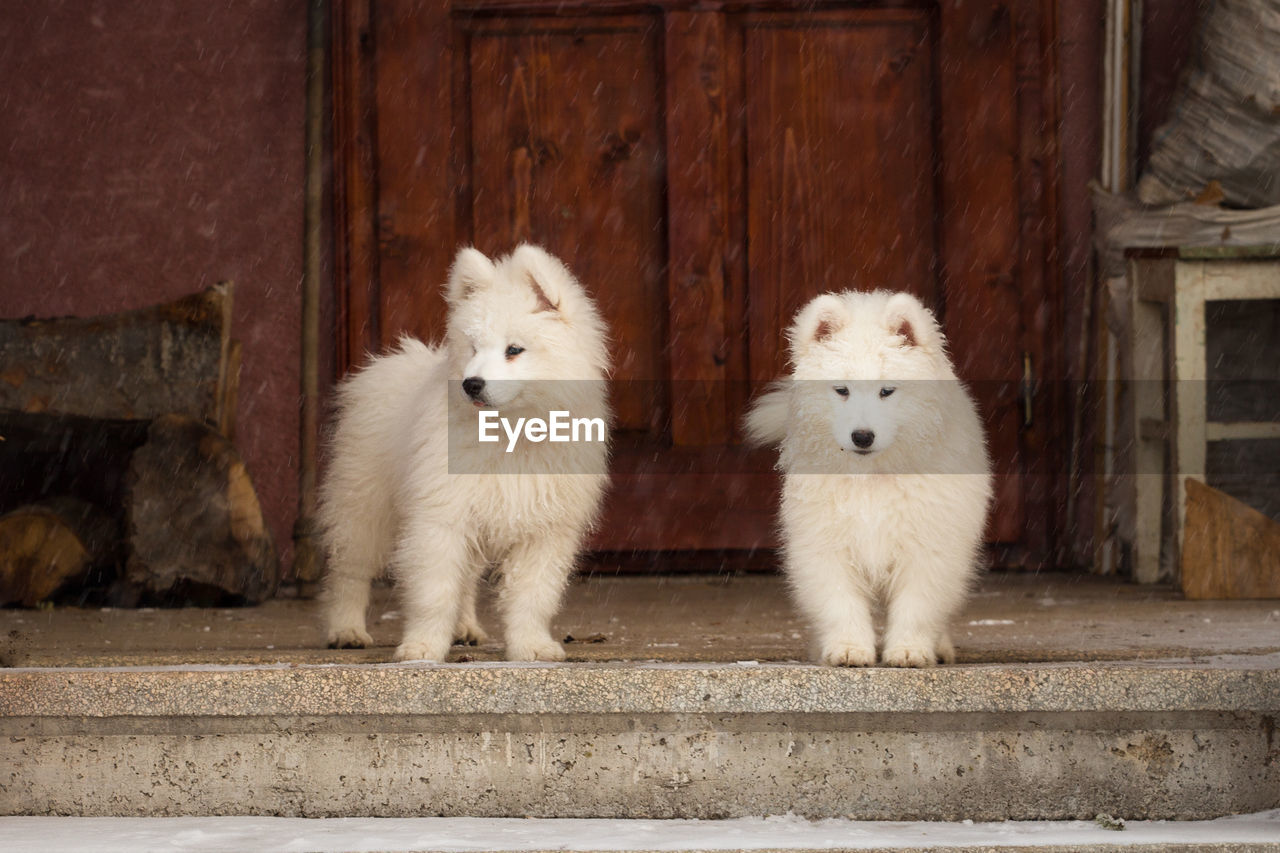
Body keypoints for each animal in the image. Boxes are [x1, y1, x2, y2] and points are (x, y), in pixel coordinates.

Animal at [325, 242, 614, 660]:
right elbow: (434, 591)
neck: (510, 430)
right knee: (350, 570)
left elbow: (532, 596)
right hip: (363, 502)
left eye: (514, 349)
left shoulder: (544, 530)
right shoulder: (441, 517)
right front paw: (422, 646)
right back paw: (345, 630)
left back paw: (464, 628)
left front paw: (532, 646)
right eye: (474, 347)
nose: (471, 384)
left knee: (465, 581)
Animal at [742, 289, 988, 666]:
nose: (862, 436)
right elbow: (839, 601)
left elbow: (917, 604)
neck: (872, 477)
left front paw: (908, 650)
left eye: (887, 390)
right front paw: (848, 648)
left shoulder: (929, 542)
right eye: (841, 390)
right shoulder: (825, 539)